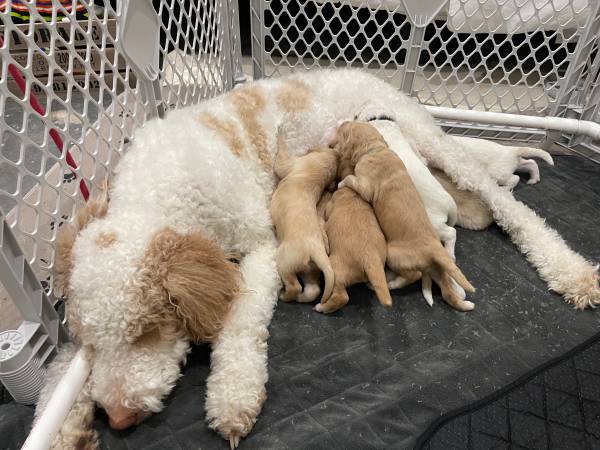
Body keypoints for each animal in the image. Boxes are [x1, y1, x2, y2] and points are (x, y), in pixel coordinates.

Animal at [270, 134, 338, 302]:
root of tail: (317, 250)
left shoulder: (291, 164)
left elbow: (280, 160)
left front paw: (279, 135)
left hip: (285, 261)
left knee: (295, 286)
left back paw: (285, 296)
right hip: (310, 270)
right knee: (313, 290)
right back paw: (301, 298)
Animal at [336, 121, 476, 312]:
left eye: (345, 131)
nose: (341, 123)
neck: (376, 148)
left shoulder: (365, 185)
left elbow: (351, 179)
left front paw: (341, 183)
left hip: (405, 244)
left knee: (439, 247)